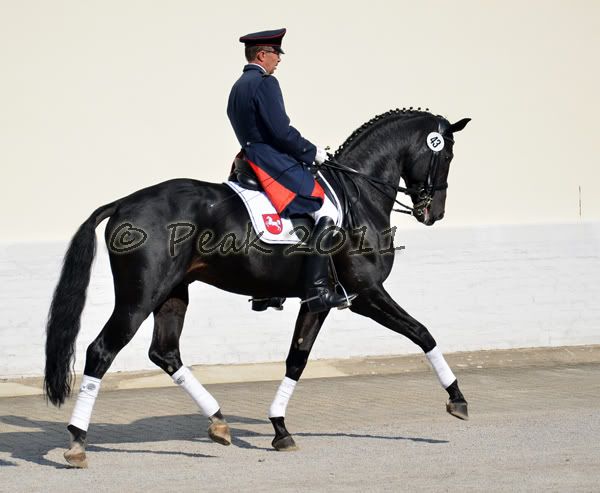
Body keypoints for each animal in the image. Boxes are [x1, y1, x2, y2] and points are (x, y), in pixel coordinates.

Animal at [45, 107, 468, 466]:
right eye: (446, 155)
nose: (434, 213)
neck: (359, 195)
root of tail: (123, 204)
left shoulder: (318, 301)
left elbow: (297, 359)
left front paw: (279, 427)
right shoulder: (366, 293)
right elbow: (422, 333)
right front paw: (457, 399)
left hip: (172, 294)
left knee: (165, 353)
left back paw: (218, 422)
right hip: (140, 297)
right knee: (102, 350)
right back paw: (78, 441)